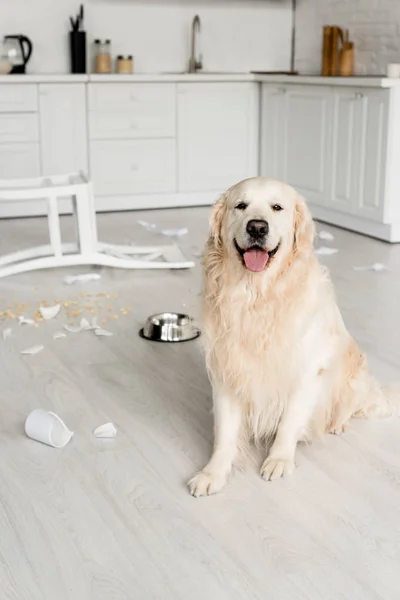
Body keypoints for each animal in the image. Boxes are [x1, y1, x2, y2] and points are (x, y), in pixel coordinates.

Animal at [188, 175, 400, 496]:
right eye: (241, 205)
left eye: (277, 207)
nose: (257, 227)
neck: (257, 297)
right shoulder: (228, 370)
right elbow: (225, 432)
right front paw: (213, 473)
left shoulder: (306, 372)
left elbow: (289, 423)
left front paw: (278, 460)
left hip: (353, 377)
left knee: (352, 405)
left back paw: (338, 423)